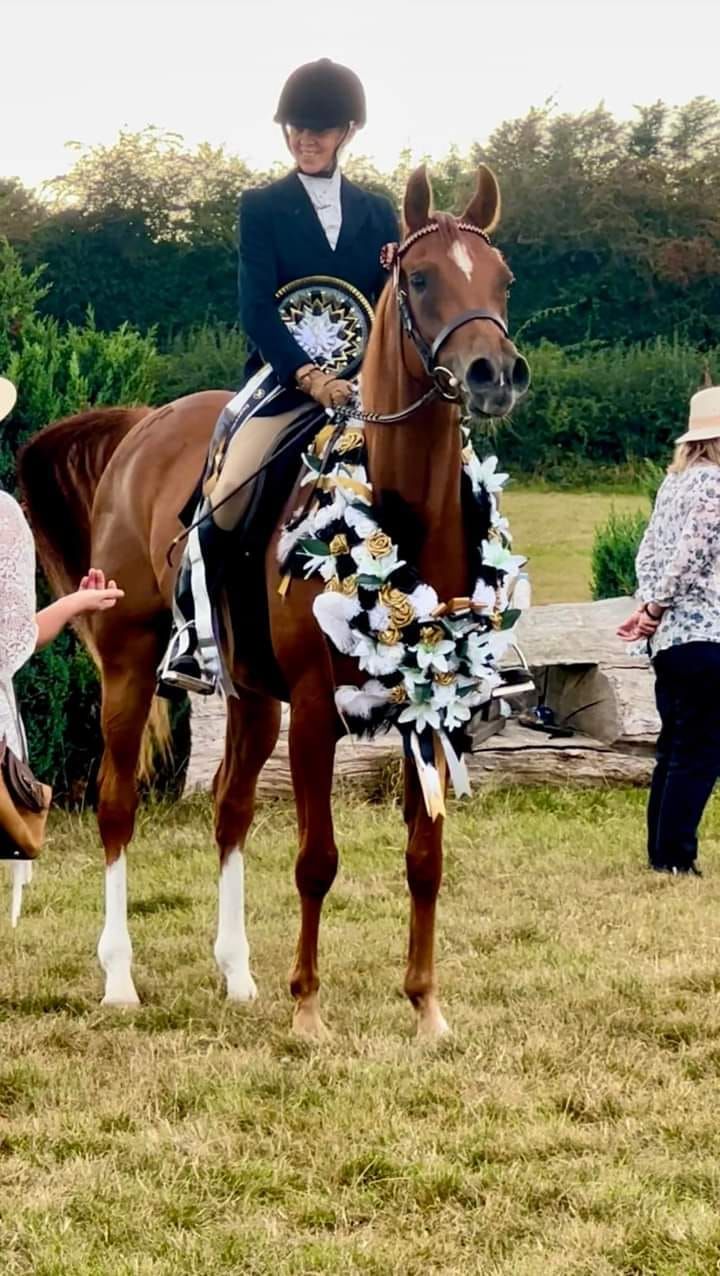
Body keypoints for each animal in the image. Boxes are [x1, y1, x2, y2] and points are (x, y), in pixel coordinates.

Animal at [19, 167, 528, 1036]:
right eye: (423, 279)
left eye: (502, 279)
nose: (495, 373)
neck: (402, 512)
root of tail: (145, 426)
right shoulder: (318, 710)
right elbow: (317, 859)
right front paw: (309, 1010)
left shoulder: (431, 703)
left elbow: (425, 860)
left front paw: (425, 1008)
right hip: (130, 664)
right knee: (117, 806)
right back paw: (120, 979)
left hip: (251, 695)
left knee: (230, 810)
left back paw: (237, 974)